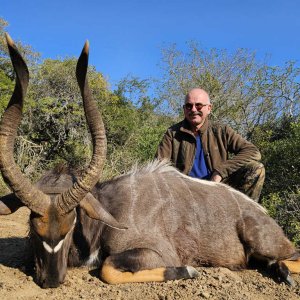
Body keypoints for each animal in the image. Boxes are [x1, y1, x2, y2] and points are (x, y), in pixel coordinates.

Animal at [0, 33, 298, 288]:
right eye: (32, 226)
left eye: (71, 224)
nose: (51, 279)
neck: (108, 212)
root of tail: (262, 214)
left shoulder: (157, 252)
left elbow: (107, 268)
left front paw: (189, 270)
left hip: (263, 242)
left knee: (291, 256)